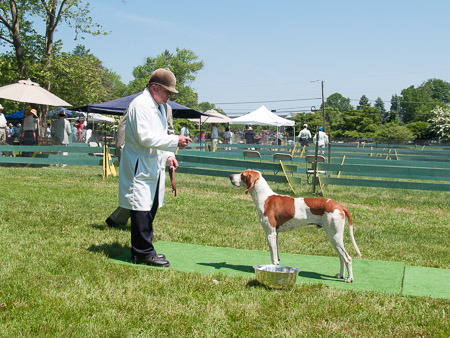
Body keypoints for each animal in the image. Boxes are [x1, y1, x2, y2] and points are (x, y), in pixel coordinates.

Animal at [230, 169, 360, 282]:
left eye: (242, 174)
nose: (230, 176)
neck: (264, 197)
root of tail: (339, 205)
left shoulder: (270, 234)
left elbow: (273, 258)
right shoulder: (276, 234)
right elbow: (276, 256)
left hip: (334, 237)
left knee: (347, 258)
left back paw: (349, 278)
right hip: (334, 238)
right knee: (341, 257)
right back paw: (340, 274)